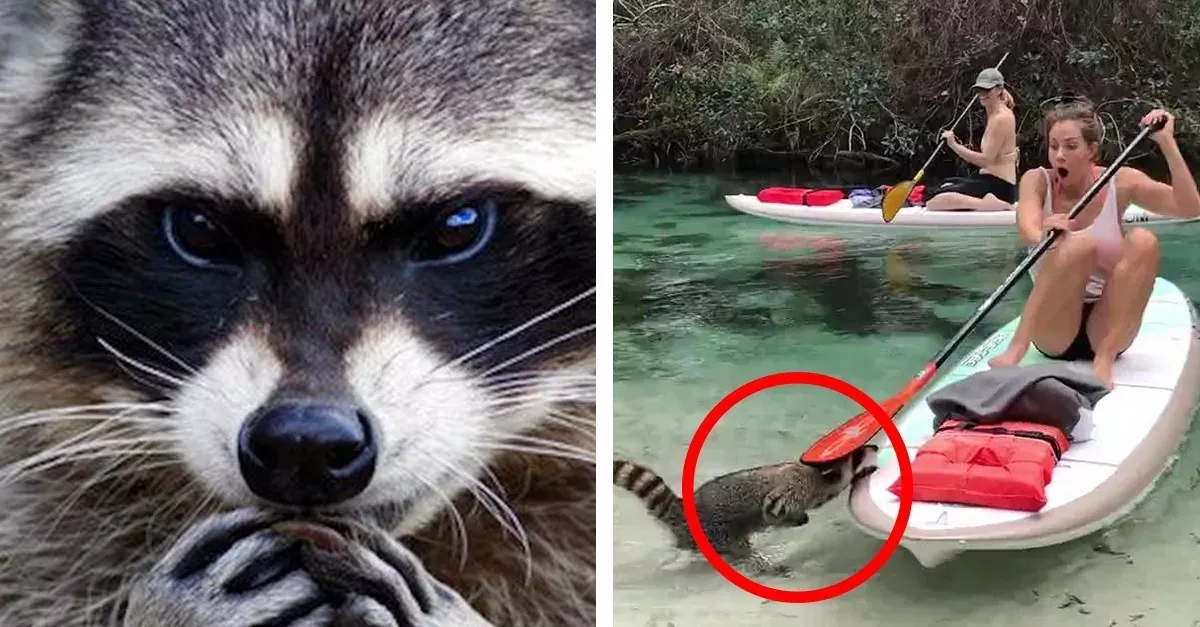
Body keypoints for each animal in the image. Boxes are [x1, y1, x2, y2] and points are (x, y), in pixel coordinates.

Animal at [613, 446, 878, 560]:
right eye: (859, 454)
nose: (874, 446)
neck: (814, 472)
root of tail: (681, 510)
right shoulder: (793, 491)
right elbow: (774, 511)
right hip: (715, 534)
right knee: (738, 549)